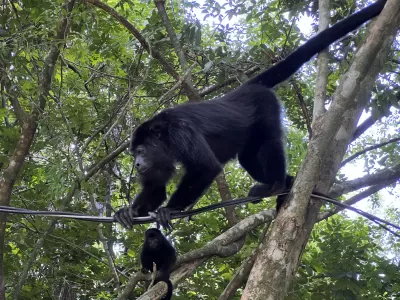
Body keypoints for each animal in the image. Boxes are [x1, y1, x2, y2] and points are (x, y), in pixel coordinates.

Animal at [114, 0, 390, 230]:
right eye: (134, 153)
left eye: (141, 151)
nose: (137, 164)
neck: (163, 134)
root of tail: (245, 88)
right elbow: (155, 187)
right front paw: (128, 212)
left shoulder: (180, 131)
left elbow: (205, 168)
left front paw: (170, 210)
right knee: (247, 157)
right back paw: (286, 184)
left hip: (266, 106)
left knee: (270, 142)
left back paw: (276, 184)